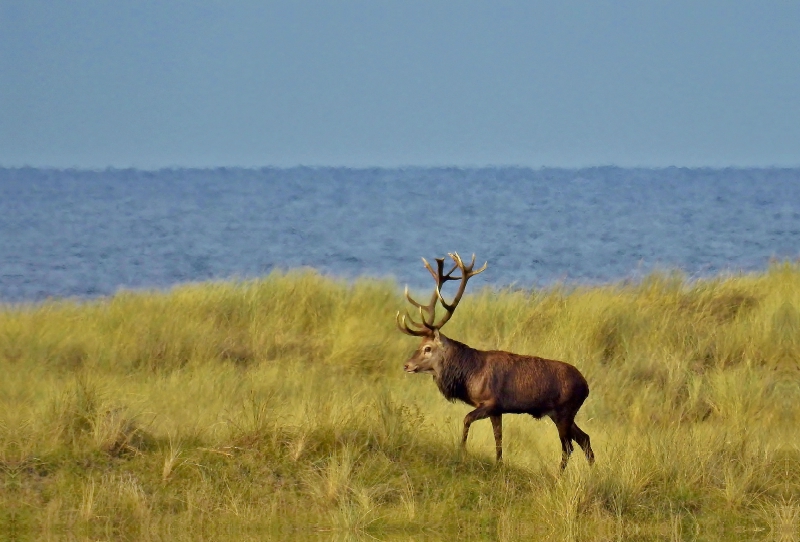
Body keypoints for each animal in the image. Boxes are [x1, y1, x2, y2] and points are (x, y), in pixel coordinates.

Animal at [398, 255, 592, 472]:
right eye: (419, 345)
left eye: (428, 348)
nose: (407, 365)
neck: (469, 375)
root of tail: (586, 386)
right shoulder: (498, 410)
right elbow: (498, 439)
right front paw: (499, 463)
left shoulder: (491, 402)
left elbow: (467, 419)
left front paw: (462, 451)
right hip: (561, 414)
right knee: (584, 439)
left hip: (565, 410)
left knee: (568, 446)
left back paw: (559, 474)